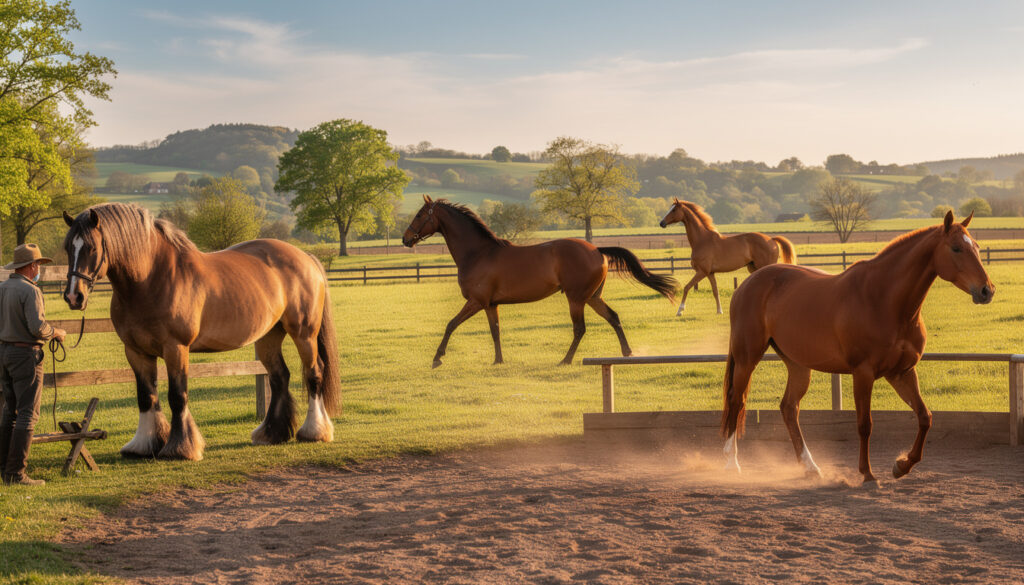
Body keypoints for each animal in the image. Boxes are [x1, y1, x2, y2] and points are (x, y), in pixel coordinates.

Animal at [62, 203, 341, 461]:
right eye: (67, 248)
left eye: (92, 248)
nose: (74, 297)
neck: (151, 278)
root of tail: (306, 257)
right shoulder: (136, 352)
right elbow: (146, 396)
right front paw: (143, 445)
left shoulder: (175, 348)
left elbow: (177, 395)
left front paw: (180, 448)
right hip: (268, 336)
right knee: (279, 376)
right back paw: (272, 434)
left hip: (304, 333)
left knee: (314, 373)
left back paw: (314, 431)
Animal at [402, 195, 678, 367]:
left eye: (419, 215)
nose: (405, 239)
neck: (478, 253)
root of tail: (596, 249)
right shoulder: (490, 305)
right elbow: (495, 331)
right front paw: (498, 361)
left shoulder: (476, 302)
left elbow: (450, 324)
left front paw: (437, 358)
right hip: (592, 298)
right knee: (613, 318)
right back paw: (627, 353)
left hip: (576, 299)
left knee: (580, 329)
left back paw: (565, 360)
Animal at [659, 198, 797, 314]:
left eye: (674, 210)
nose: (661, 223)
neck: (702, 240)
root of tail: (771, 239)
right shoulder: (710, 273)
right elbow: (715, 291)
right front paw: (719, 311)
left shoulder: (702, 271)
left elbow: (687, 287)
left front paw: (680, 311)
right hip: (753, 268)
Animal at [721, 211, 994, 485]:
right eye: (956, 248)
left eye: (977, 247)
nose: (986, 290)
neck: (884, 300)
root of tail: (747, 284)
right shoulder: (863, 373)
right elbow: (865, 424)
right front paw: (867, 473)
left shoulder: (902, 373)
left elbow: (925, 417)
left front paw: (902, 465)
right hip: (747, 359)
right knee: (737, 401)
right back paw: (731, 463)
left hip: (798, 365)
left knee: (789, 408)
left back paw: (810, 467)